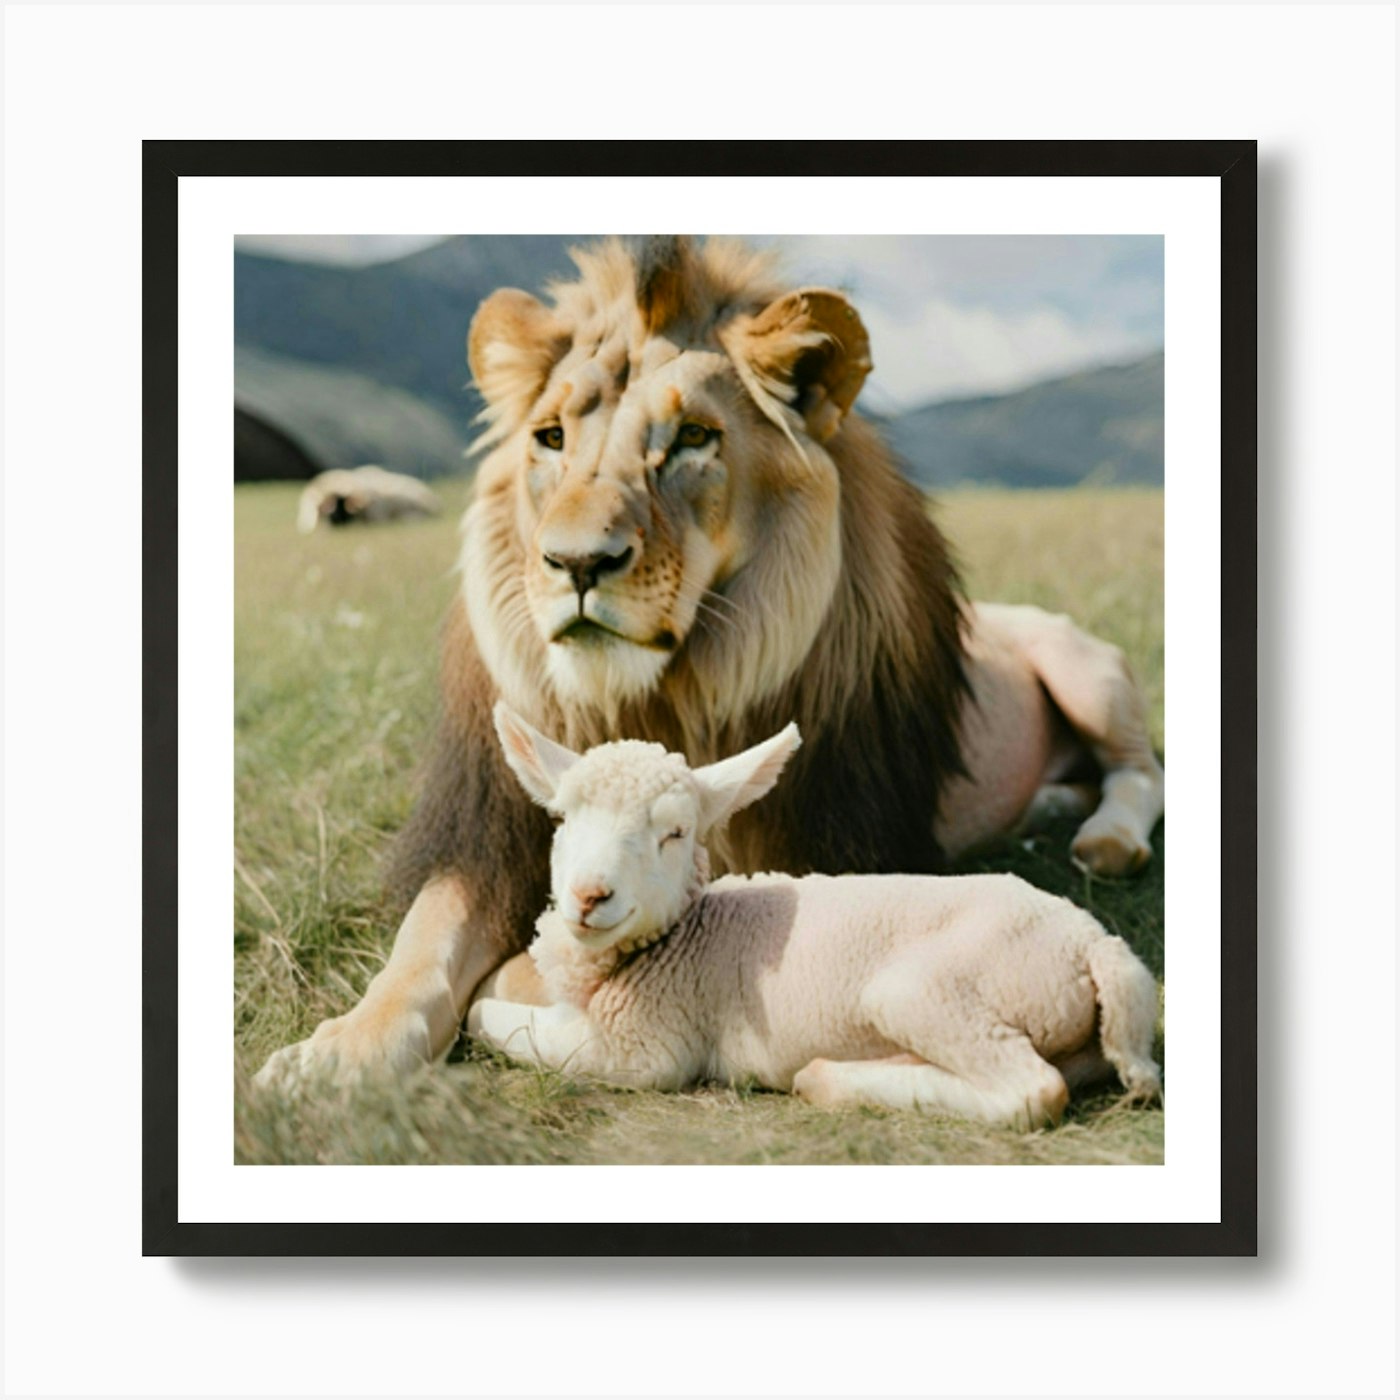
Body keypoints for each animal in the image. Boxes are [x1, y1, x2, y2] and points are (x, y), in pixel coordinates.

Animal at [256, 236, 1164, 1086]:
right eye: (549, 437)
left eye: (693, 437)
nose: (577, 563)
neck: (659, 696)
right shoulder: (486, 838)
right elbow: (424, 942)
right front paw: (337, 1054)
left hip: (1085, 670)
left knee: (1138, 769)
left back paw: (1105, 839)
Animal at [468, 704, 1162, 1130]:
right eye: (562, 819)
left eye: (675, 832)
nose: (589, 896)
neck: (687, 932)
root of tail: (1096, 944)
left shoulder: (641, 1047)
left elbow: (487, 1016)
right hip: (1075, 1041)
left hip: (927, 990)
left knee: (1034, 1091)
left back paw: (828, 1079)